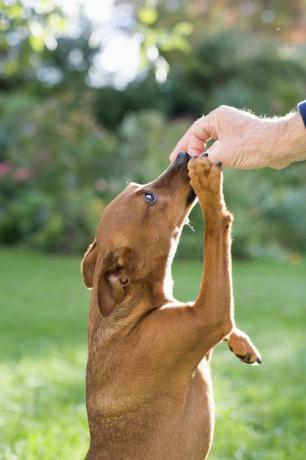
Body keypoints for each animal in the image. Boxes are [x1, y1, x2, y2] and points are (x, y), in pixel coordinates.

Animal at [80, 154, 260, 460]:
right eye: (149, 197)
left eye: (139, 187)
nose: (183, 156)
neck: (137, 307)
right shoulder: (209, 314)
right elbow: (215, 231)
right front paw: (207, 182)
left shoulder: (202, 327)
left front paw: (242, 342)